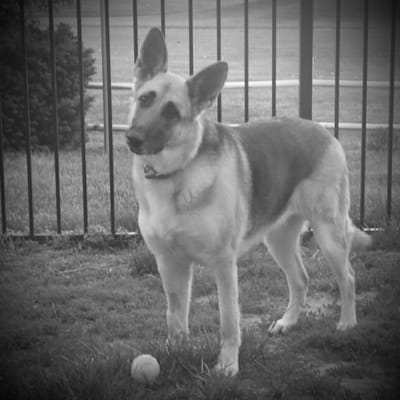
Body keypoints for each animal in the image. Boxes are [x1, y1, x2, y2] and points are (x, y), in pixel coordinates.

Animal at [126, 27, 372, 376]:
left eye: (172, 113)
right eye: (145, 99)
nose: (132, 139)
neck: (177, 172)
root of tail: (323, 130)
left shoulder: (224, 264)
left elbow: (229, 321)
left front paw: (228, 365)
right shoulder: (169, 262)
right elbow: (175, 314)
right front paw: (176, 350)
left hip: (329, 235)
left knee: (348, 278)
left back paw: (347, 324)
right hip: (278, 239)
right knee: (301, 279)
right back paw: (287, 322)